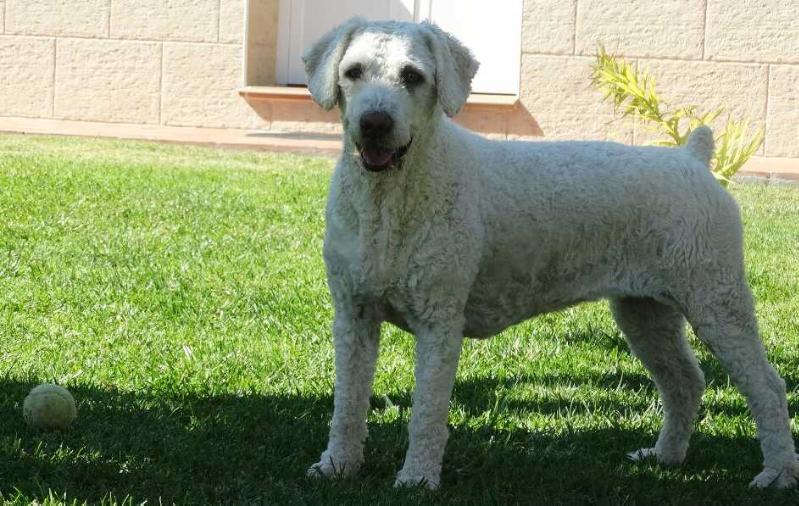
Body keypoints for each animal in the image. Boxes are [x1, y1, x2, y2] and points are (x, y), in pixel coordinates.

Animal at [304, 17, 796, 488]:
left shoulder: (438, 323)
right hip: (645, 312)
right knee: (685, 383)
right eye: (353, 72)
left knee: (768, 388)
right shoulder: (354, 316)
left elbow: (426, 413)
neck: (391, 201)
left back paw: (777, 474)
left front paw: (417, 478)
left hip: (716, 300)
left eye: (412, 76)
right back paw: (665, 457)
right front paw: (337, 466)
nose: (374, 123)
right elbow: (347, 405)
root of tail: (693, 159)